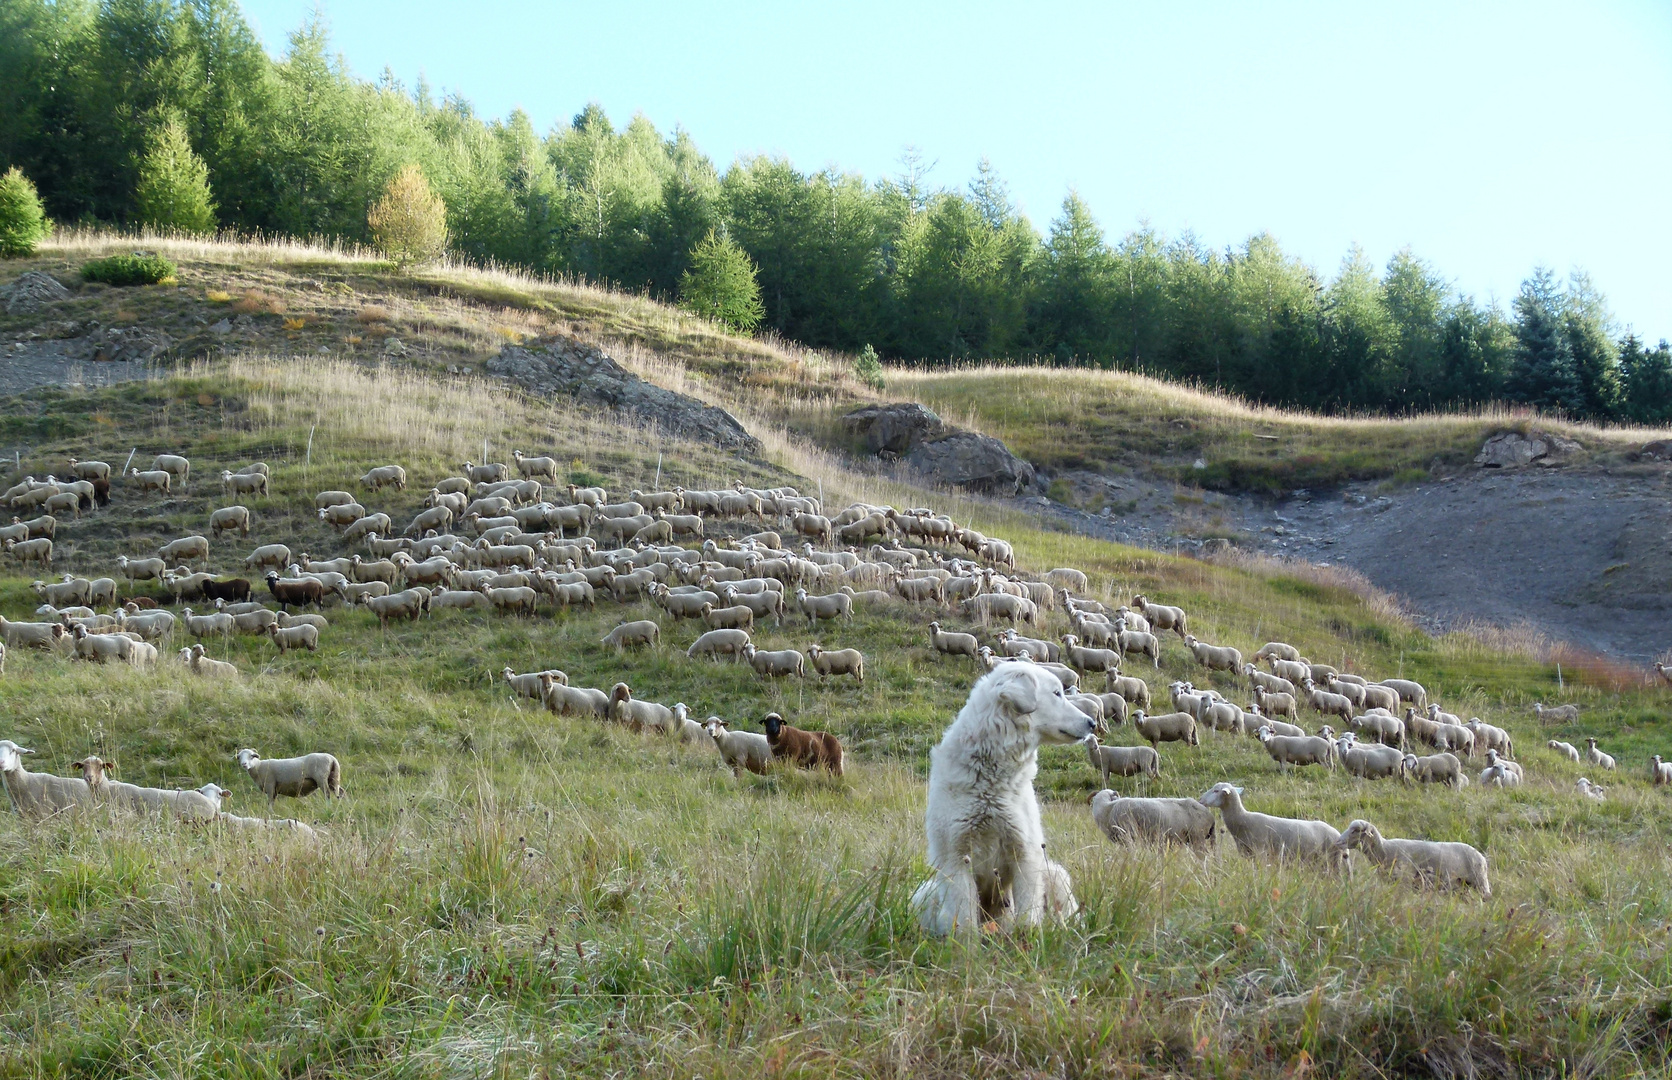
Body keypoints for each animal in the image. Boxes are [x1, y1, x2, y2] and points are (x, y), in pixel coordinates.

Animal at [916, 665, 1096, 936]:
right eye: (1057, 693)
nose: (1092, 723)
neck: (992, 779)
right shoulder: (956, 858)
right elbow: (965, 921)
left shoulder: (1025, 853)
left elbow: (1027, 917)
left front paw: (1026, 941)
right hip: (924, 893)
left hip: (1054, 873)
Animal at [1337, 822, 1498, 896]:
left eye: (1356, 830)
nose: (1338, 842)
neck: (1384, 850)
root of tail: (1481, 857)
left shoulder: (1404, 881)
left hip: (1480, 883)